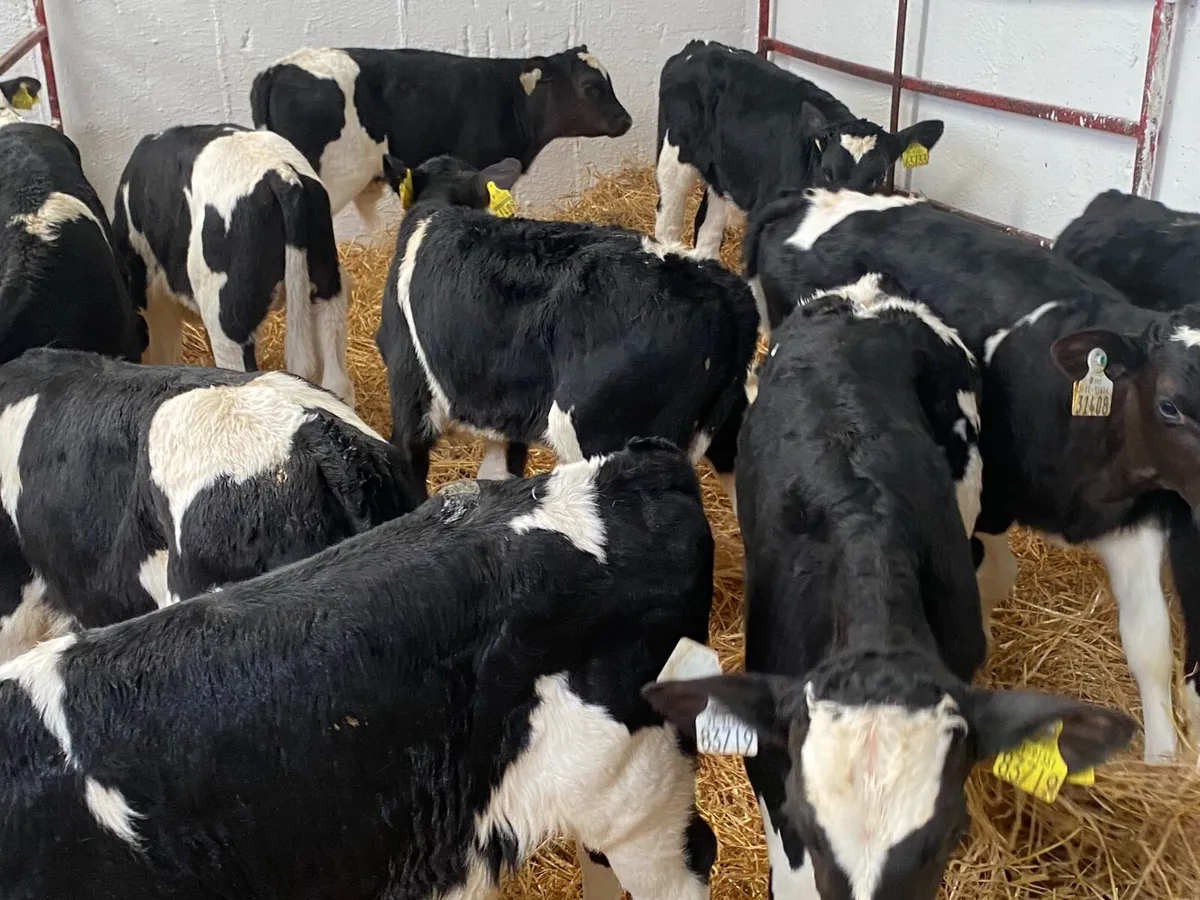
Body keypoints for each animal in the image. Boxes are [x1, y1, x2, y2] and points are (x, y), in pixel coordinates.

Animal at [654, 39, 943, 262]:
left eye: (878, 176)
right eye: (827, 172)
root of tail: (700, 47)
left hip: (722, 175)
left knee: (708, 233)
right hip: (673, 157)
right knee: (667, 223)